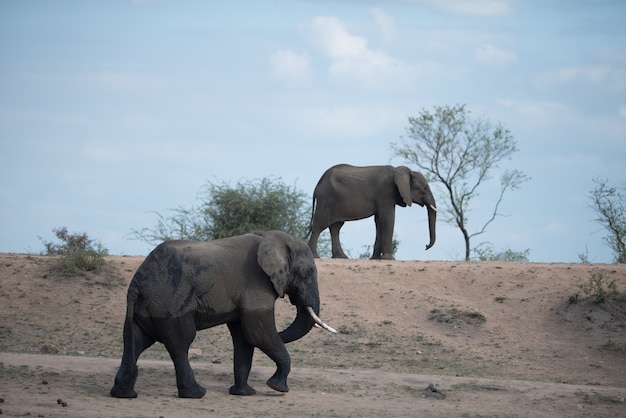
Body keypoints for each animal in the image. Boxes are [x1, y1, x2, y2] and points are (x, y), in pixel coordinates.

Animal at [112, 232, 336, 398]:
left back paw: (124, 394)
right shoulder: (256, 285)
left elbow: (244, 338)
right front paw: (277, 387)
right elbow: (257, 333)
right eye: (308, 272)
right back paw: (196, 394)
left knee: (136, 341)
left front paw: (244, 393)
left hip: (149, 306)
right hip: (169, 301)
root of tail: (136, 284)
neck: (272, 238)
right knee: (180, 342)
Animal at [306, 165, 434, 260]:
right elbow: (388, 218)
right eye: (424, 188)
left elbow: (379, 221)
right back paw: (315, 256)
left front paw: (375, 258)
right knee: (319, 225)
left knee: (336, 227)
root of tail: (318, 184)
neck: (398, 171)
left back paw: (341, 257)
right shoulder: (385, 192)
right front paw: (389, 259)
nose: (426, 246)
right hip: (326, 199)